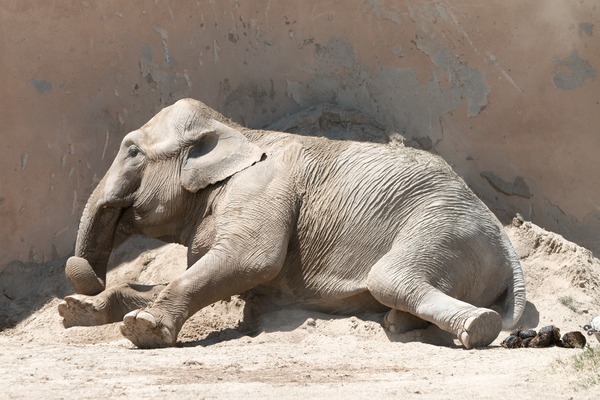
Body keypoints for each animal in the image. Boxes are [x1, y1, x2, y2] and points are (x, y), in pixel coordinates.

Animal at [57, 98, 524, 348]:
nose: (85, 274)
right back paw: (399, 322)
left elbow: (249, 260)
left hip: (444, 229)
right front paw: (74, 311)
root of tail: (508, 244)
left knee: (390, 277)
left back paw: (475, 327)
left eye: (132, 151)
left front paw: (144, 330)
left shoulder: (262, 187)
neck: (238, 131)